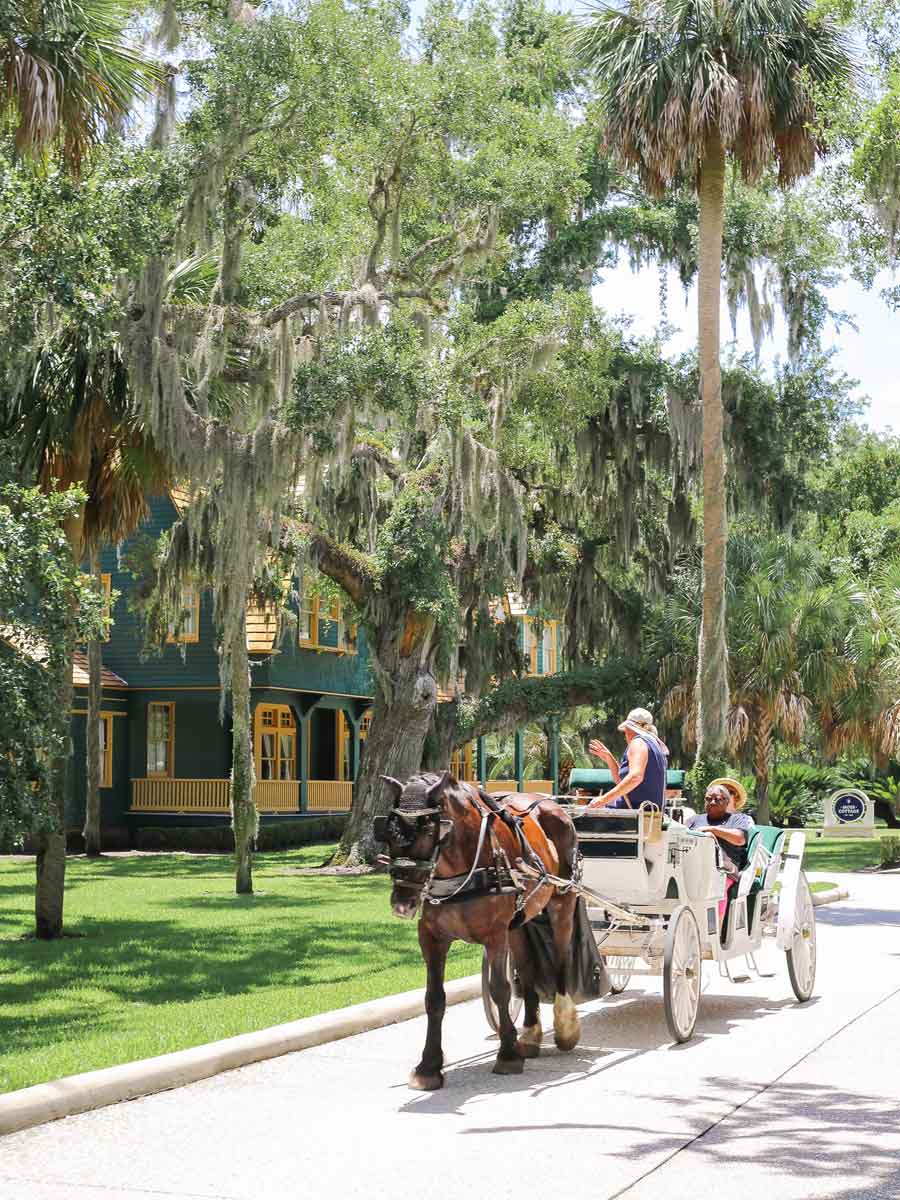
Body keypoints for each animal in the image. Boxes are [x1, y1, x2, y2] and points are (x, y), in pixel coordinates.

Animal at [376, 772, 580, 1094]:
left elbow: (500, 989)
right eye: (388, 831)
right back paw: (530, 1034)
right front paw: (429, 1066)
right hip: (520, 922)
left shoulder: (495, 934)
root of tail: (548, 802)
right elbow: (434, 998)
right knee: (527, 969)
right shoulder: (431, 937)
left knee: (561, 958)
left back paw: (565, 1027)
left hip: (562, 902)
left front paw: (507, 1054)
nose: (402, 904)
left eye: (429, 832)